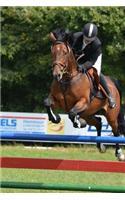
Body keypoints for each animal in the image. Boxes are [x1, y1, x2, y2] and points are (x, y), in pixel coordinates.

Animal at [43, 32, 124, 162]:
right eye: (52, 52)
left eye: (65, 52)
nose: (56, 74)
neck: (68, 79)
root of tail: (113, 83)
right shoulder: (57, 100)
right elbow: (47, 102)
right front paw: (56, 118)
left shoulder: (83, 102)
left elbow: (72, 113)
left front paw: (79, 123)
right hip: (88, 113)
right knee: (98, 122)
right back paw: (100, 146)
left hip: (110, 115)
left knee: (115, 131)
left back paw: (119, 153)